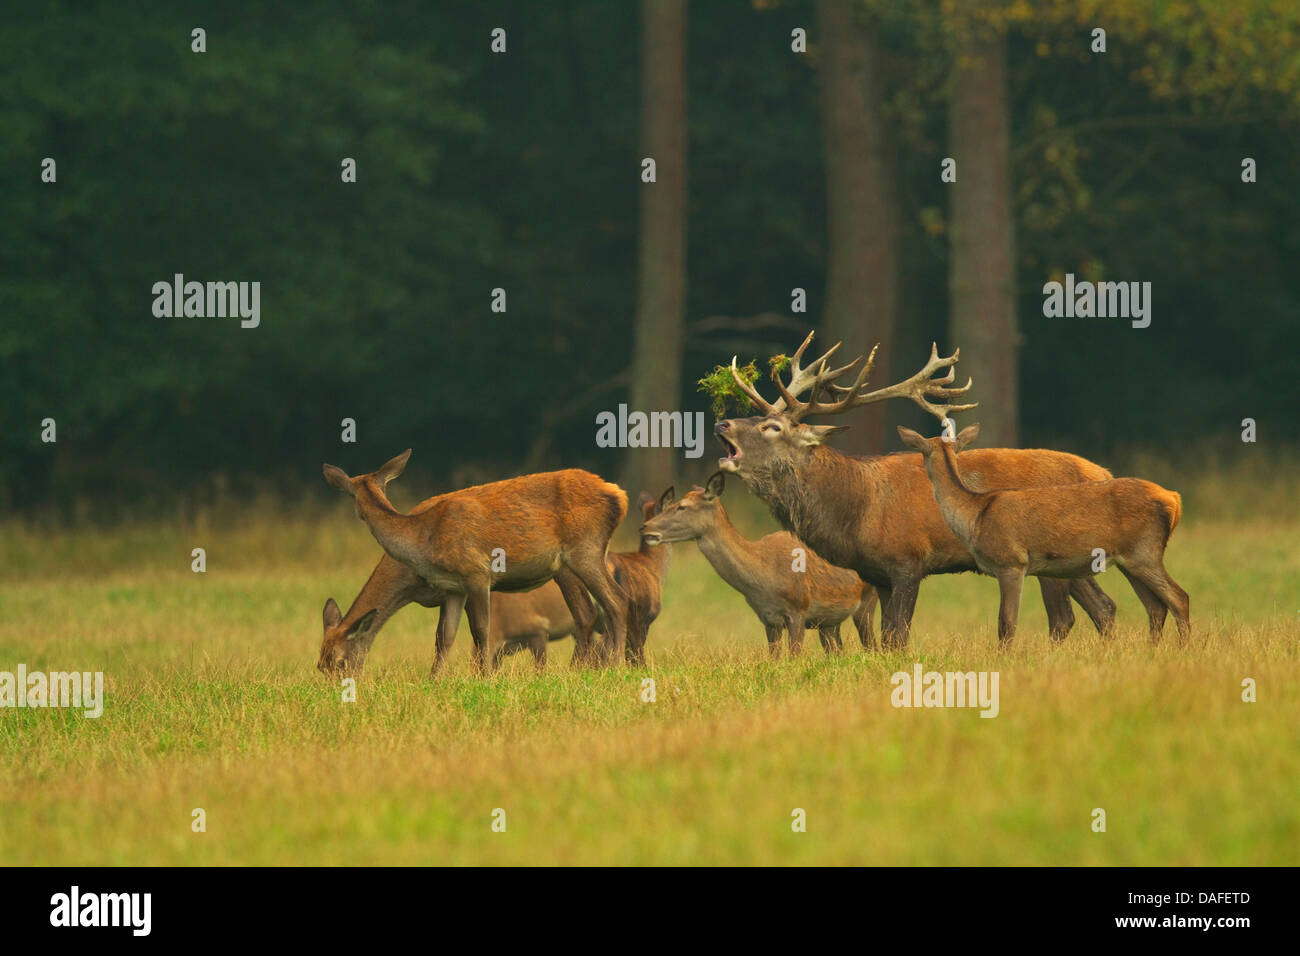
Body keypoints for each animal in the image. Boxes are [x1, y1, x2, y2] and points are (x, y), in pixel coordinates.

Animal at [319, 455, 624, 671]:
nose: (336, 691)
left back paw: (614, 665)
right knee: (588, 613)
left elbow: (480, 632)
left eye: (340, 662)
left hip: (584, 550)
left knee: (615, 601)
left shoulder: (476, 573)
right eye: (320, 665)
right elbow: (444, 637)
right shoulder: (453, 588)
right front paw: (435, 680)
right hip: (568, 565)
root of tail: (619, 495)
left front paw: (483, 677)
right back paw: (581, 669)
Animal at [637, 470, 873, 658]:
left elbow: (794, 658)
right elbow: (774, 659)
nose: (645, 527)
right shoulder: (768, 619)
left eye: (682, 507)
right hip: (829, 621)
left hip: (867, 599)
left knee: (872, 647)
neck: (765, 576)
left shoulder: (799, 609)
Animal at [894, 424, 1190, 642]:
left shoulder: (1011, 562)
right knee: (1155, 606)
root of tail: (1174, 499)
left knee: (1179, 598)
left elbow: (1007, 623)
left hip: (1144, 552)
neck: (974, 515)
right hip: (1130, 560)